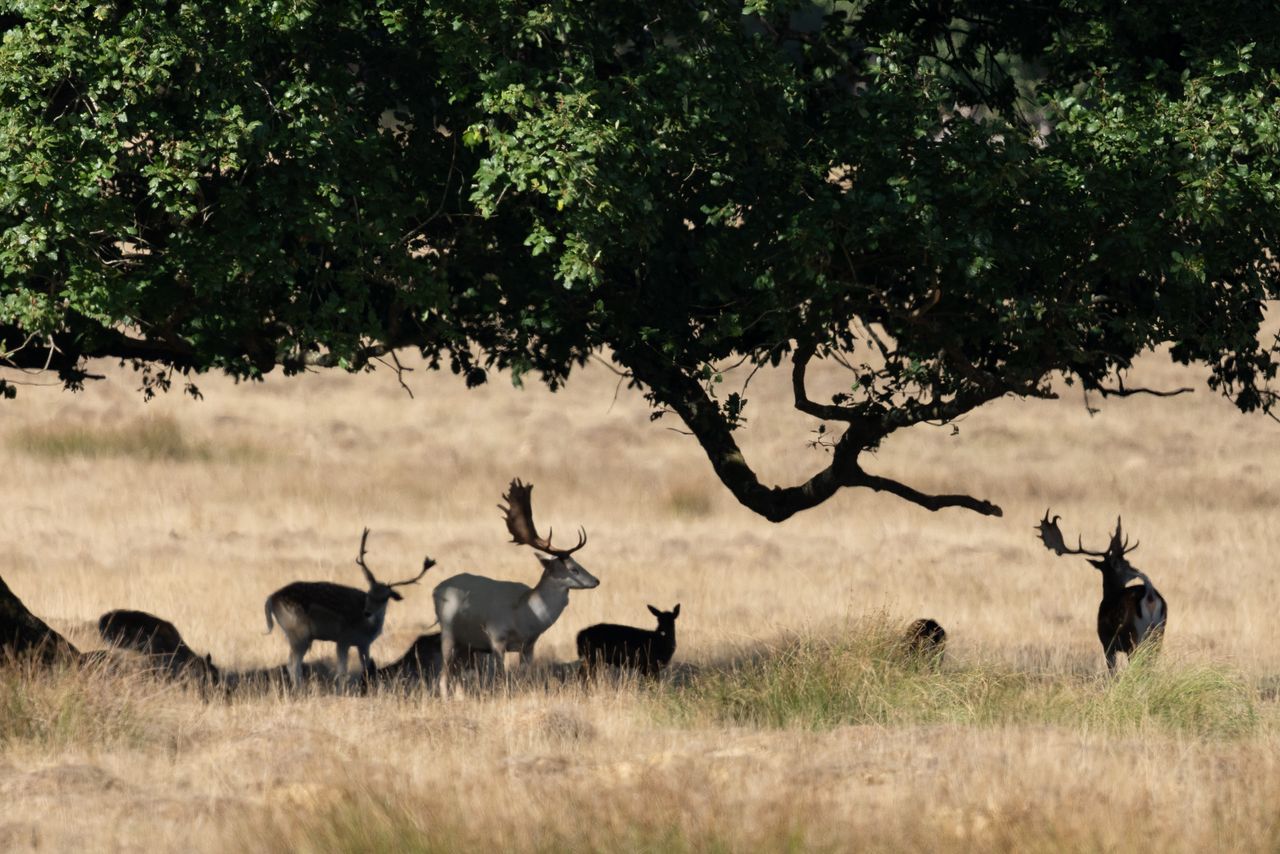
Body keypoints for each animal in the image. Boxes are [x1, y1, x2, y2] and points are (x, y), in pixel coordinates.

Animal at [264, 528, 433, 689]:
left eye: (385, 598)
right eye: (369, 593)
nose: (367, 612)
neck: (366, 628)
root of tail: (271, 599)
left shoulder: (364, 643)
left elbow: (366, 668)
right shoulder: (343, 640)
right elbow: (343, 671)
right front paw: (342, 691)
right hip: (299, 633)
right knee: (293, 664)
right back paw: (300, 691)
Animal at [432, 478, 599, 697]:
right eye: (573, 568)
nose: (596, 580)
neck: (524, 615)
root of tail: (436, 589)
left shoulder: (529, 645)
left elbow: (524, 677)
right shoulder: (496, 637)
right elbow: (500, 677)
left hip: (466, 645)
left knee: (455, 674)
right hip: (448, 632)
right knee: (443, 675)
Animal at [1037, 510, 1168, 671]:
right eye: (1127, 563)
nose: (1138, 571)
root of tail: (1150, 596)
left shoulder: (1106, 643)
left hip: (1134, 637)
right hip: (1158, 634)